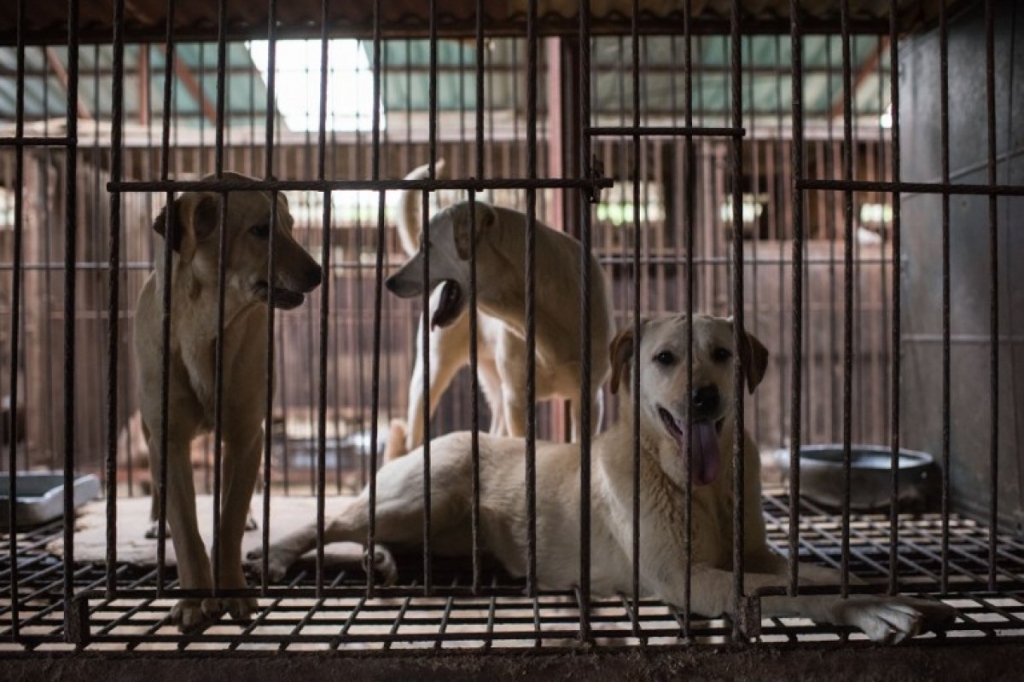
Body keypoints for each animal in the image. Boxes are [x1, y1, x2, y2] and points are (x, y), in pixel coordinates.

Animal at [134, 173, 319, 630]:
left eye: (290, 226)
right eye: (260, 230)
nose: (319, 273)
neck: (207, 328)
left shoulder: (246, 435)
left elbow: (229, 520)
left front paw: (234, 591)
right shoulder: (167, 438)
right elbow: (186, 528)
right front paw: (193, 601)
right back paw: (155, 523)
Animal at [251, 313, 954, 643]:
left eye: (722, 355)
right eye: (664, 358)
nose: (701, 398)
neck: (703, 490)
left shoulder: (752, 552)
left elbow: (811, 572)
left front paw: (889, 593)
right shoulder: (689, 577)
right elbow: (785, 593)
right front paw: (874, 608)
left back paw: (386, 562)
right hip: (421, 493)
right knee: (332, 518)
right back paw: (275, 556)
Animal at [385, 161, 610, 454]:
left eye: (428, 245)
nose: (389, 282)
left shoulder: (590, 398)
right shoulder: (517, 399)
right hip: (431, 375)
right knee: (414, 438)